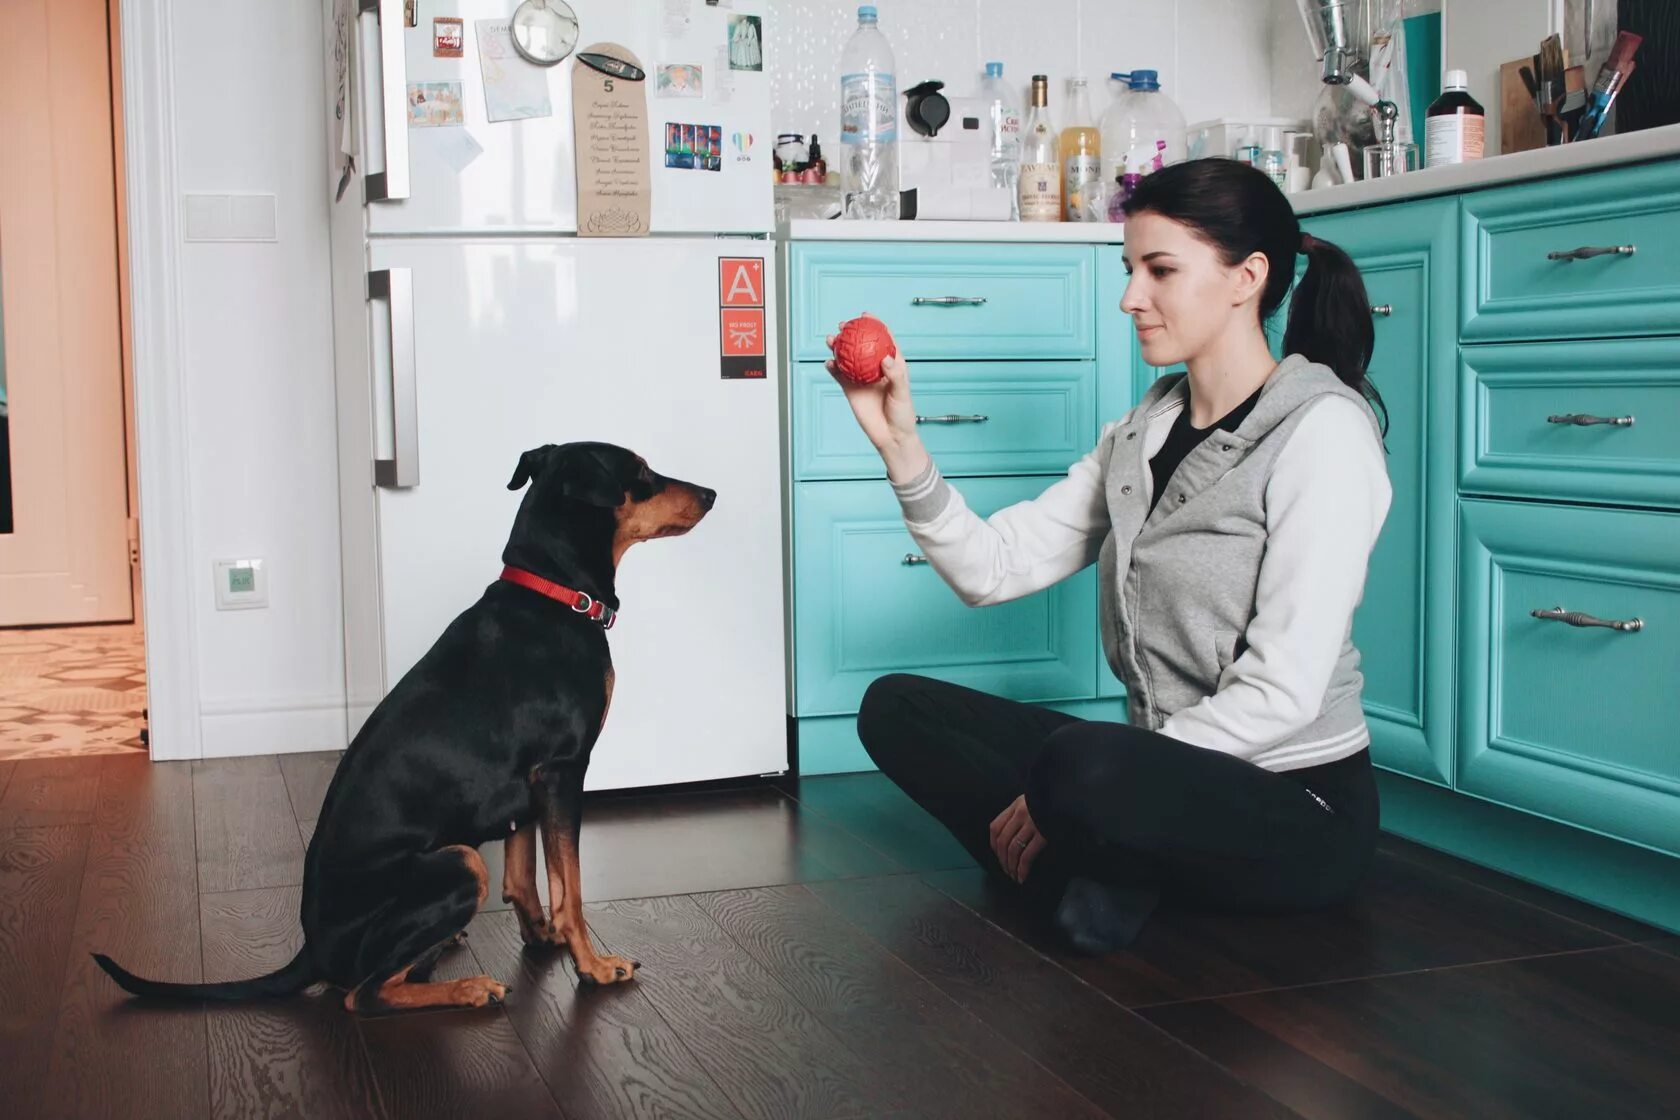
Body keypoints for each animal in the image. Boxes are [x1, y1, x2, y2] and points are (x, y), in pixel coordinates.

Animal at [93, 443, 715, 1014]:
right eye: (641, 473)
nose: (711, 493)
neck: (554, 597)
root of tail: (310, 949)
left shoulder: (530, 787)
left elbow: (523, 877)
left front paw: (542, 936)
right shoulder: (563, 770)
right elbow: (572, 890)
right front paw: (593, 965)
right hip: (458, 862)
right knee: (361, 995)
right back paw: (468, 988)